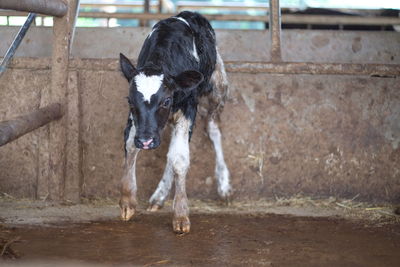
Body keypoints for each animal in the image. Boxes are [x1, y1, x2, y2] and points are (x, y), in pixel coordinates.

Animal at [118, 11, 231, 234]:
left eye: (166, 101)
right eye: (130, 101)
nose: (146, 141)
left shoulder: (188, 109)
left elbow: (179, 159)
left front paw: (180, 215)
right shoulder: (137, 122)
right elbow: (130, 146)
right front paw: (127, 201)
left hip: (218, 86)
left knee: (213, 129)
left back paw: (223, 184)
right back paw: (159, 196)